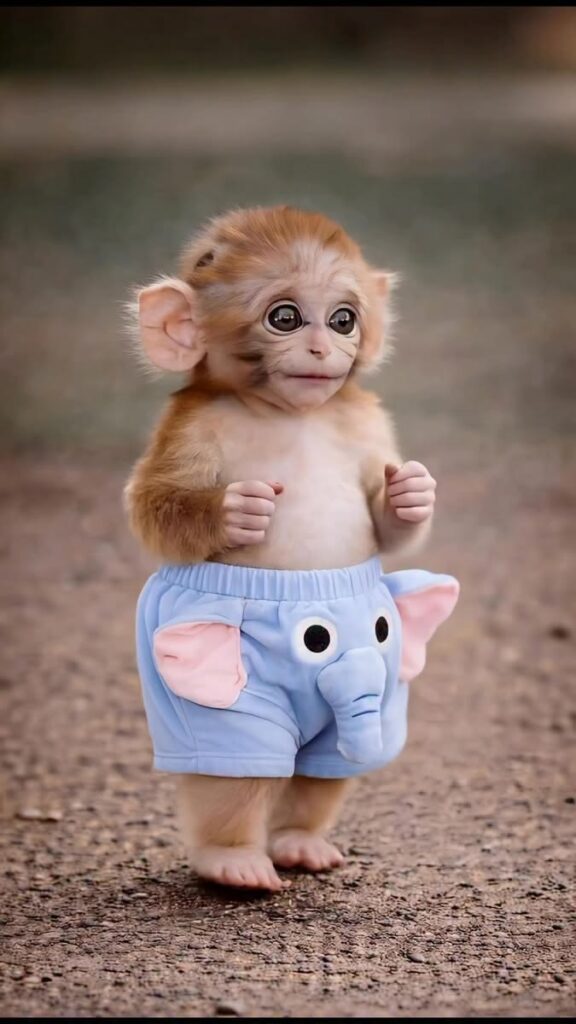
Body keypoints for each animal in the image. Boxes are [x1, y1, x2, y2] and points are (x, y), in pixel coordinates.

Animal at [124, 205, 458, 892]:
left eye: (343, 319)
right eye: (285, 318)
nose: (322, 348)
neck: (286, 410)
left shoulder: (365, 422)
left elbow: (390, 523)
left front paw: (409, 494)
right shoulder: (190, 429)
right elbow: (153, 506)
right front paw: (233, 512)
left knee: (321, 773)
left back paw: (299, 842)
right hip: (214, 680)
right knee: (241, 771)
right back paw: (232, 860)